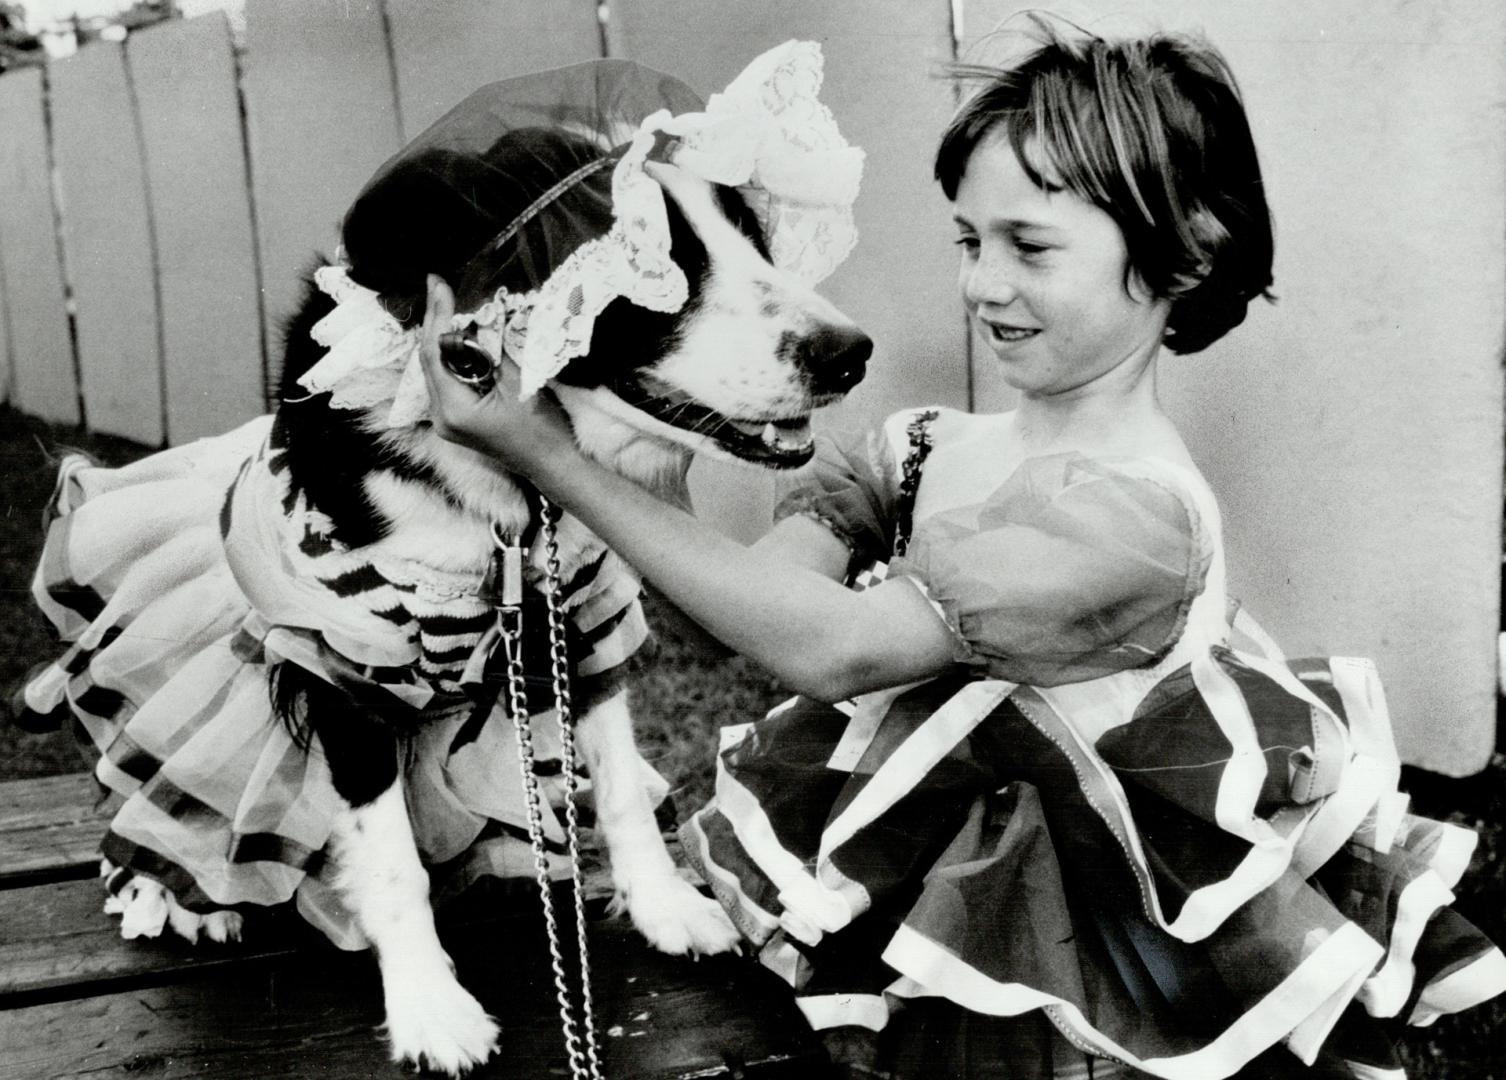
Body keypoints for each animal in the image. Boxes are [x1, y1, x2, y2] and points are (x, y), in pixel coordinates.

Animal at [82, 105, 879, 1066]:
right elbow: (389, 853)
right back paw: (171, 894)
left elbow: (619, 780)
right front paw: (432, 1009)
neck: (507, 497)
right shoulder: (343, 662)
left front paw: (665, 907)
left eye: (754, 240)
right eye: (651, 264)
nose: (851, 354)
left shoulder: (581, 612)